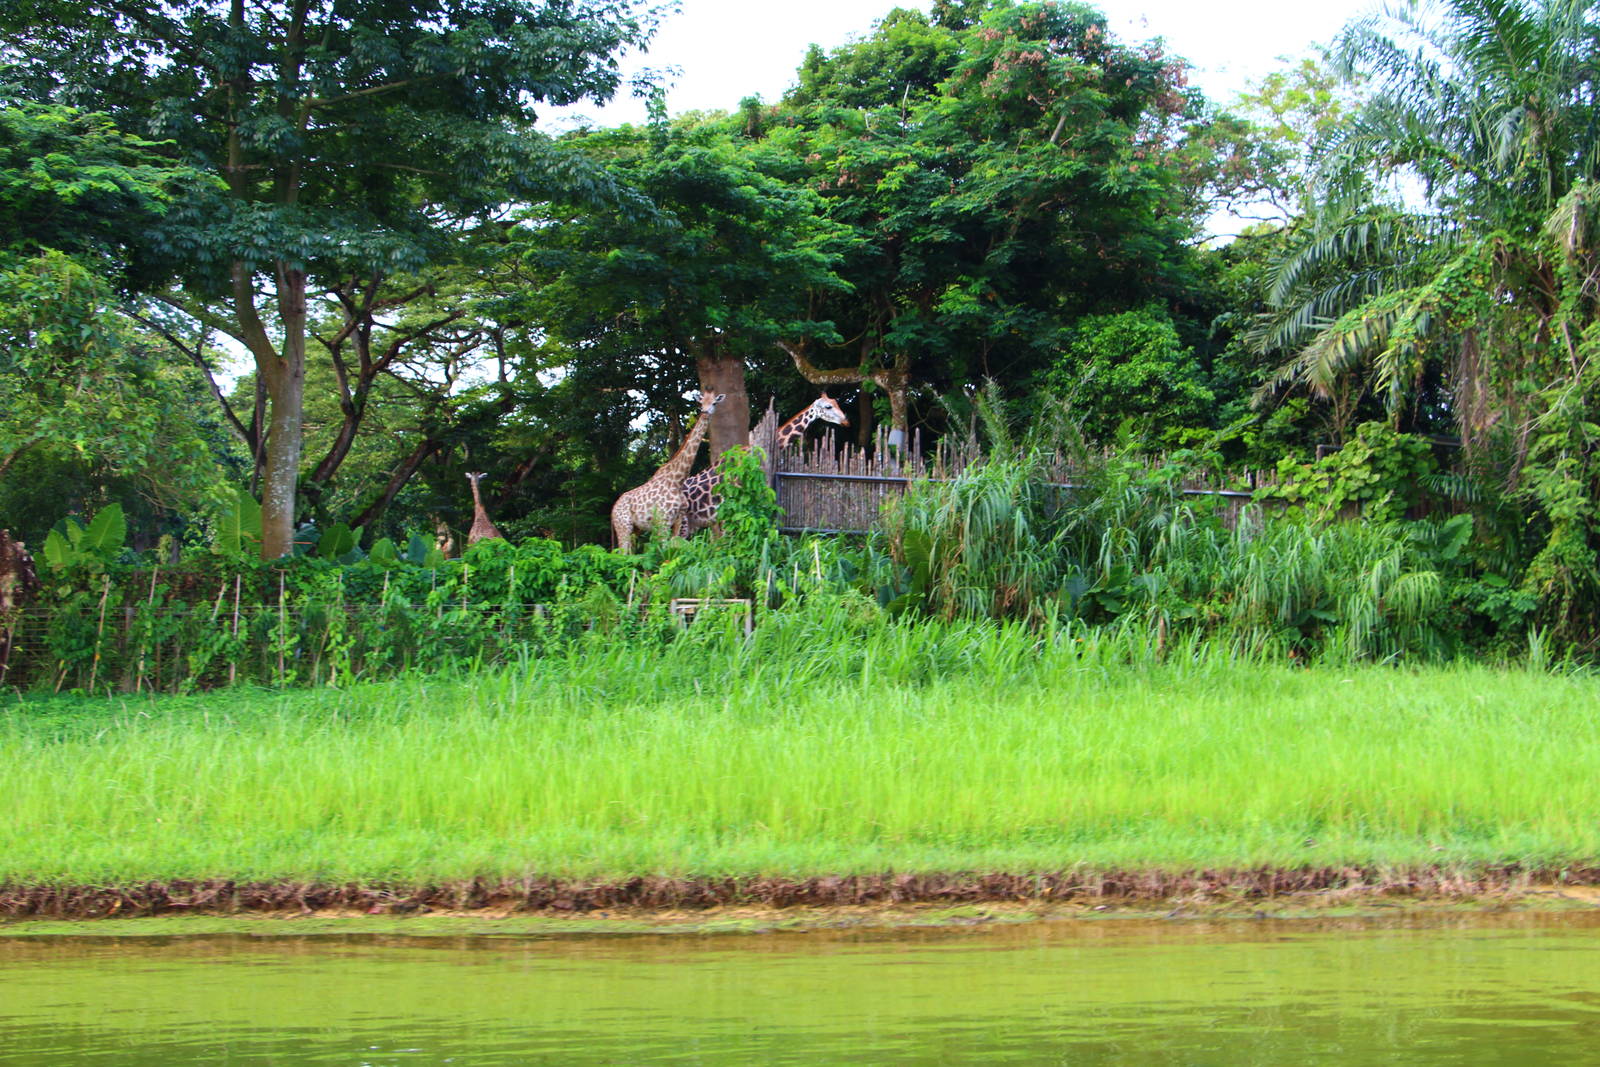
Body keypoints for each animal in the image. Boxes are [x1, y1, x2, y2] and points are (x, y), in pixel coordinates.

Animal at [611, 390, 725, 554]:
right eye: (700, 403)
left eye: (714, 403)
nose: (705, 412)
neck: (677, 479)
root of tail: (613, 509)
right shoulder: (663, 521)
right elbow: (663, 551)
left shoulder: (677, 520)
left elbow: (672, 548)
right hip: (623, 526)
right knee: (623, 554)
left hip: (635, 529)